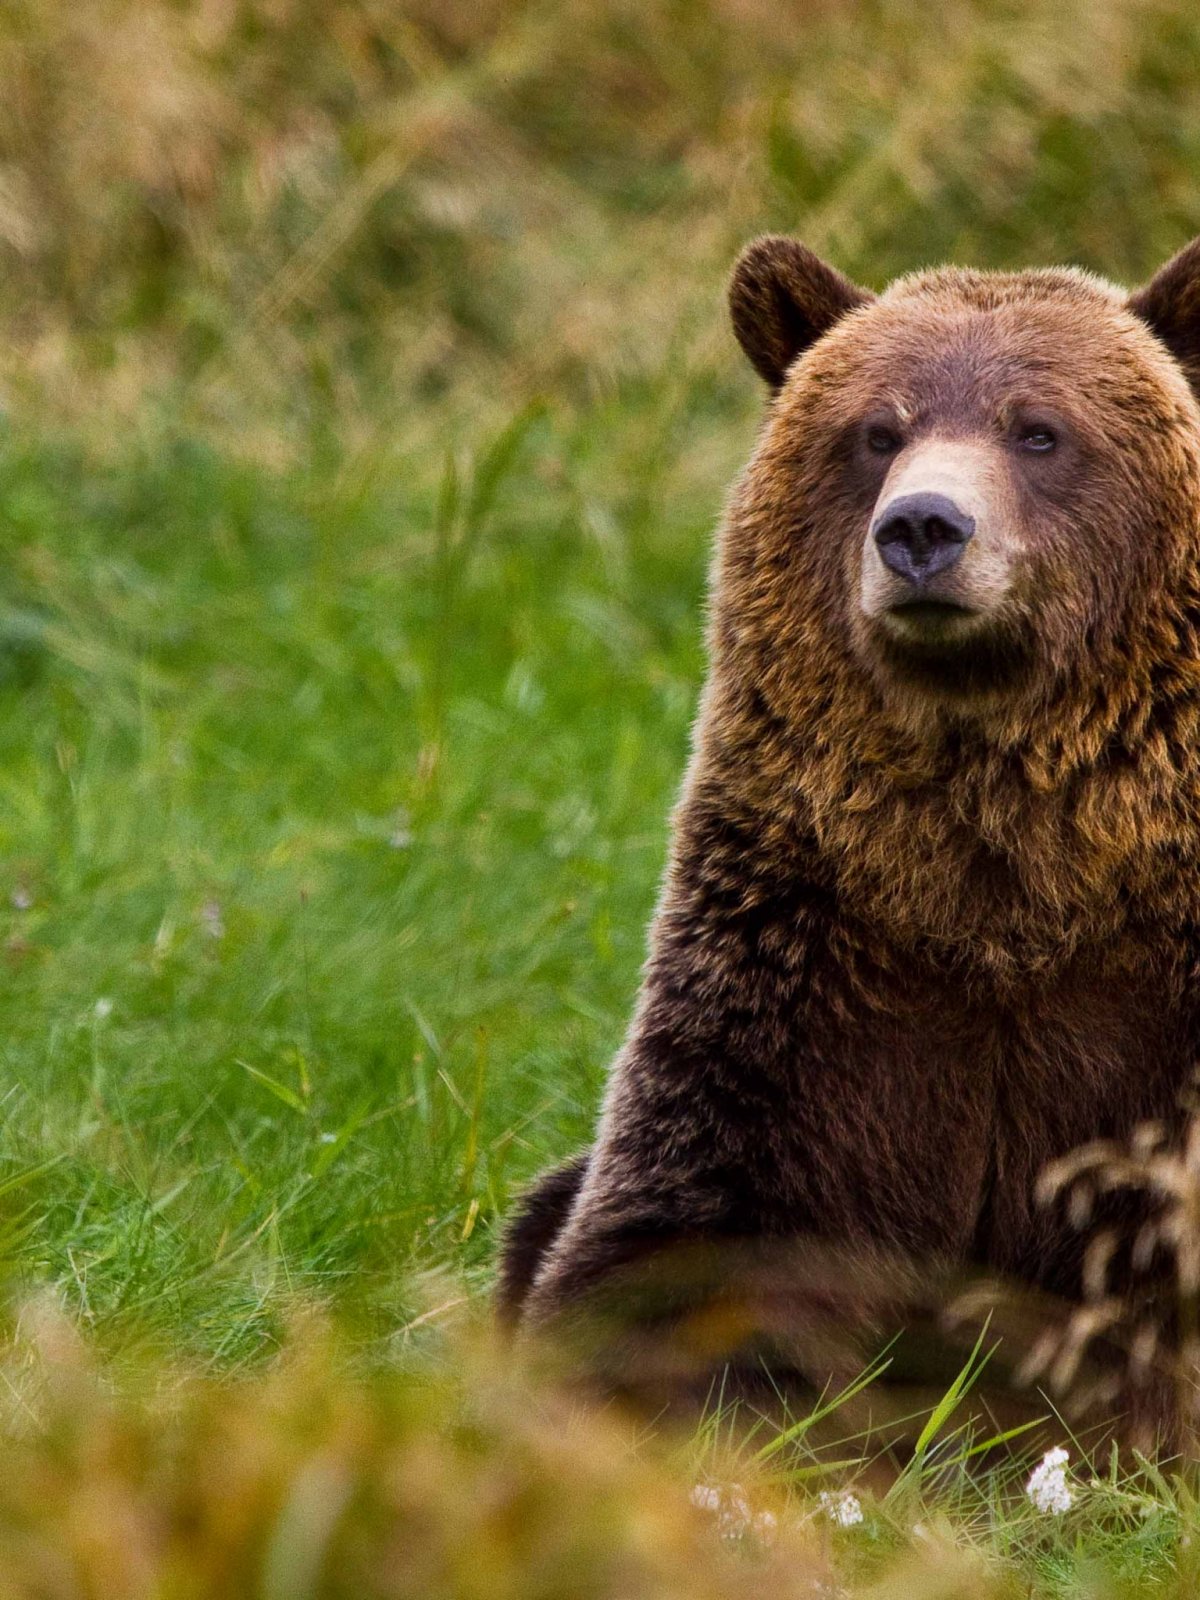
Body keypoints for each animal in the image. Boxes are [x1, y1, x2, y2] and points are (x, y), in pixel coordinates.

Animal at [498, 232, 1200, 1434]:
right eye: (878, 429)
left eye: (1039, 429)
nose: (923, 527)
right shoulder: (807, 963)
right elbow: (681, 1240)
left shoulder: (1153, 1004)